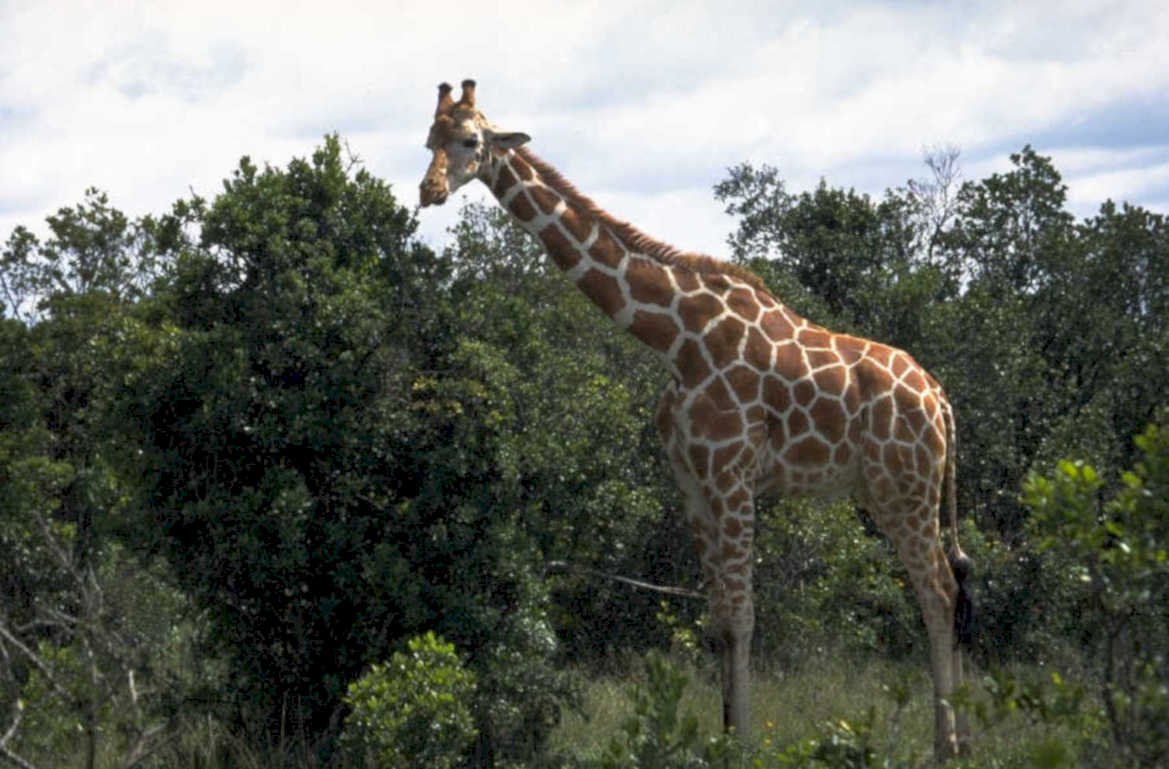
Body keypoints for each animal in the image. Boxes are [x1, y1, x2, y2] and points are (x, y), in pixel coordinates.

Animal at [418, 79, 974, 759]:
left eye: (472, 141)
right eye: (429, 138)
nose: (429, 190)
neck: (675, 338)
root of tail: (942, 400)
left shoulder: (732, 475)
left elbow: (741, 617)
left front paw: (744, 745)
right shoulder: (689, 480)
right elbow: (716, 620)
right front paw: (723, 734)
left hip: (906, 489)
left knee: (939, 592)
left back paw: (947, 745)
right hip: (887, 490)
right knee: (946, 590)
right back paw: (955, 736)